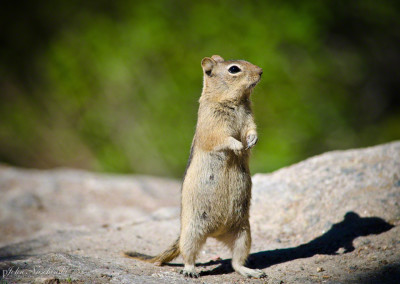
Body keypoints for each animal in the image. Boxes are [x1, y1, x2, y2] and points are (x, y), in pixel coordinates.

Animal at [123, 54, 264, 278]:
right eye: (234, 69)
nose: (260, 71)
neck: (234, 102)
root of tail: (216, 233)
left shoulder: (250, 118)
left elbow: (252, 130)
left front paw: (251, 141)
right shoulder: (212, 126)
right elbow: (222, 138)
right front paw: (238, 145)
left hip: (244, 233)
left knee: (236, 262)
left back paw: (251, 272)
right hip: (192, 232)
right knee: (188, 254)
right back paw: (190, 270)